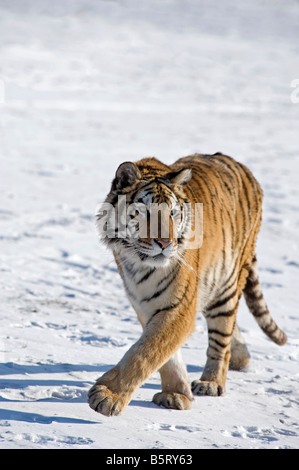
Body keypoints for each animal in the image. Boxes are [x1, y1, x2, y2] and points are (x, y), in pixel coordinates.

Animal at [89, 153, 288, 414]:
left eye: (173, 213)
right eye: (144, 211)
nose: (165, 243)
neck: (139, 264)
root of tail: (243, 168)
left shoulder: (179, 307)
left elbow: (145, 352)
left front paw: (107, 396)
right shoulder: (146, 304)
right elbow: (162, 353)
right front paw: (175, 393)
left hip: (226, 286)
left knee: (221, 337)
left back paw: (211, 382)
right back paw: (241, 359)